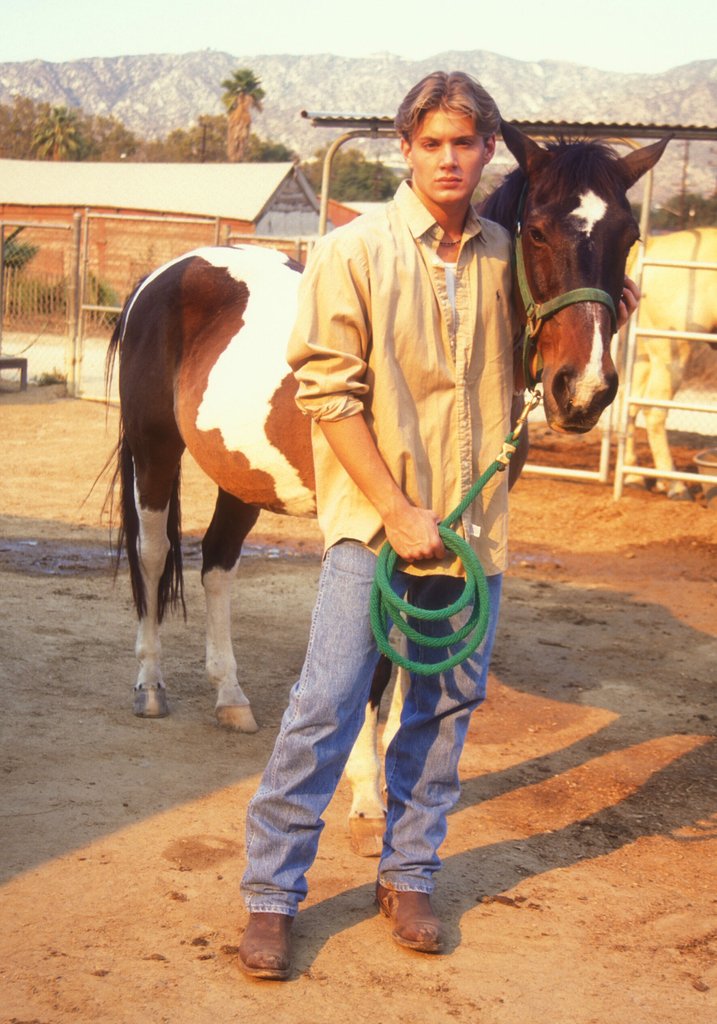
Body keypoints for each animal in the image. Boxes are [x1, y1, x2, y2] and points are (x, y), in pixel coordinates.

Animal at [109, 121, 667, 847]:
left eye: (628, 236)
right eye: (540, 231)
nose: (586, 391)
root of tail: (165, 274)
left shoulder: (451, 523)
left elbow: (420, 639)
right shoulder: (382, 527)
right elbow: (372, 661)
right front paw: (368, 787)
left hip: (243, 474)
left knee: (218, 566)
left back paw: (230, 697)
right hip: (155, 450)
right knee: (152, 556)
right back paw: (149, 685)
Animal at [622, 227, 717, 495]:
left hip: (646, 353)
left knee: (632, 404)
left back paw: (635, 476)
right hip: (673, 351)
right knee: (654, 409)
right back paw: (675, 485)